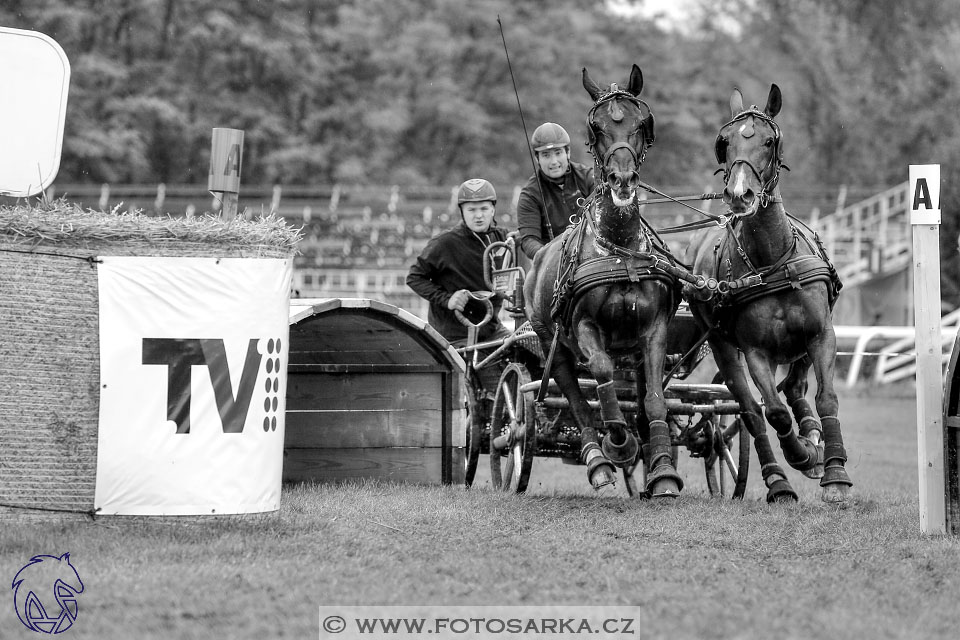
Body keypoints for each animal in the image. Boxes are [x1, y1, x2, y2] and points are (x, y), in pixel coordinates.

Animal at [524, 63, 684, 496]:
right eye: (595, 127)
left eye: (641, 123)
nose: (622, 180)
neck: (620, 249)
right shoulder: (582, 327)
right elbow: (600, 373)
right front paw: (618, 441)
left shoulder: (655, 329)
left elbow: (654, 398)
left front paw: (663, 470)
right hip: (551, 342)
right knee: (576, 397)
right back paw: (598, 460)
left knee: (641, 395)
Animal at [688, 86, 852, 504]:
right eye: (724, 142)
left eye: (768, 141)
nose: (739, 194)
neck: (772, 260)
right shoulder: (755, 351)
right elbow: (773, 412)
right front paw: (797, 457)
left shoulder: (821, 334)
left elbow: (826, 398)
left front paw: (834, 471)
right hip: (723, 346)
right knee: (750, 410)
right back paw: (779, 476)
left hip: (799, 346)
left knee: (795, 386)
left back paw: (812, 436)